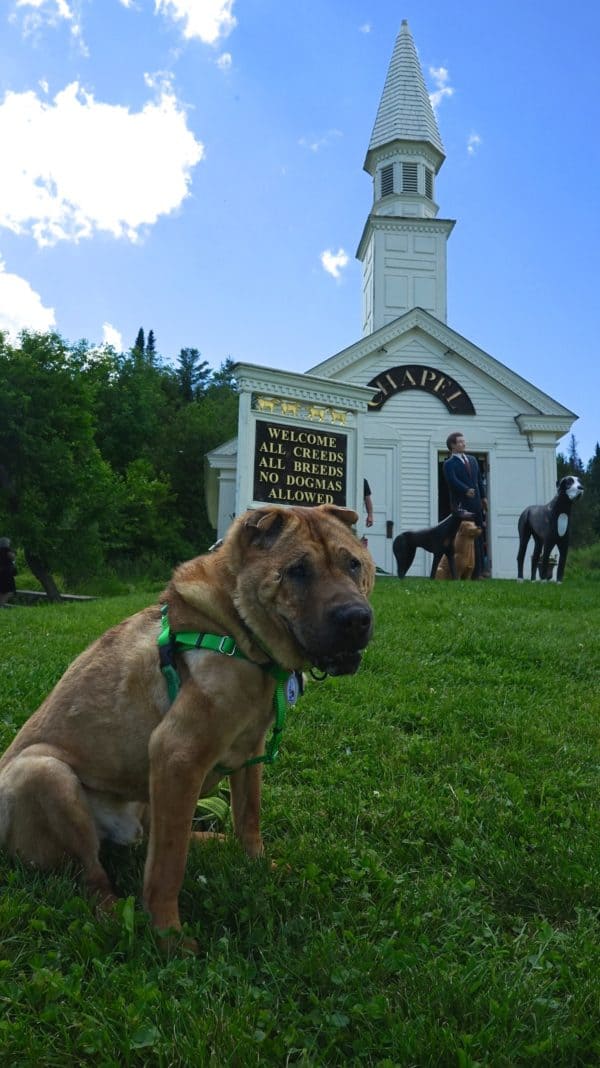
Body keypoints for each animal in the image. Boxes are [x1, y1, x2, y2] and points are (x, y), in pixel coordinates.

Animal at [0, 504, 373, 948]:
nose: (357, 619)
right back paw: (114, 916)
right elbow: (168, 866)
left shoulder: (250, 754)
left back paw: (209, 840)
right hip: (44, 773)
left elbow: (249, 819)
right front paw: (169, 939)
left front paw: (259, 866)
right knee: (94, 875)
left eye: (353, 564)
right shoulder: (177, 754)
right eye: (297, 571)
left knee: (151, 837)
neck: (239, 630)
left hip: (143, 797)